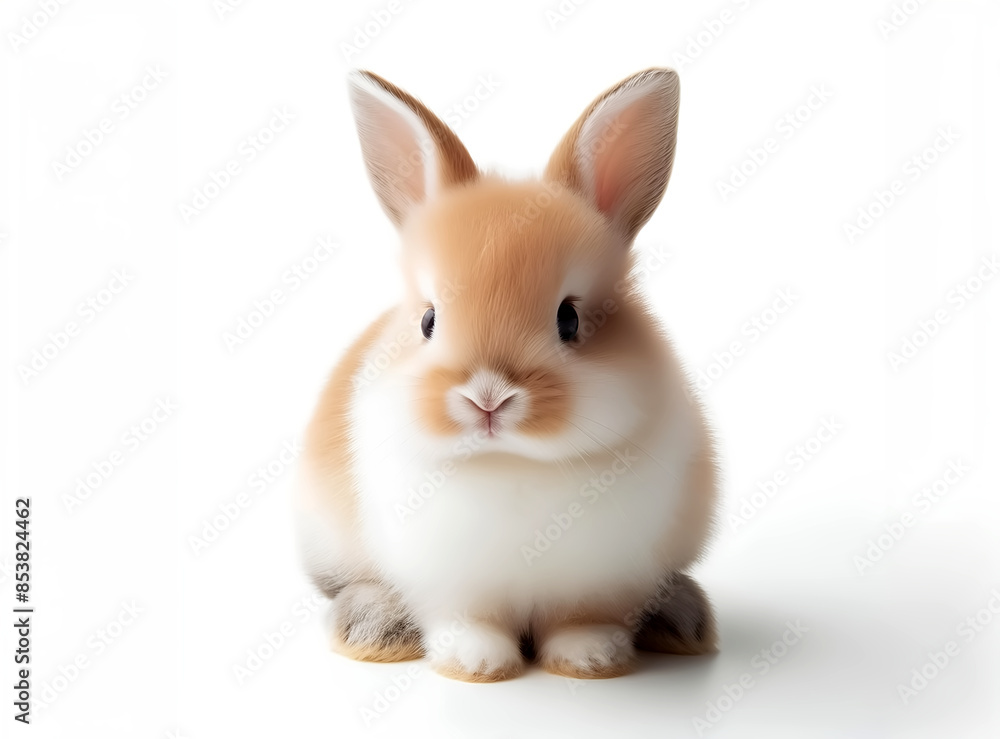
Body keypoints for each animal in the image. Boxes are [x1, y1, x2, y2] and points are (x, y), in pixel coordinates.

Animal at [294, 67, 719, 682]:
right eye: (428, 320)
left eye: (569, 319)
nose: (488, 398)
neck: (512, 463)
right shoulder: (450, 587)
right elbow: (467, 621)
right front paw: (476, 663)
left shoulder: (603, 584)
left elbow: (584, 619)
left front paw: (590, 658)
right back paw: (374, 627)